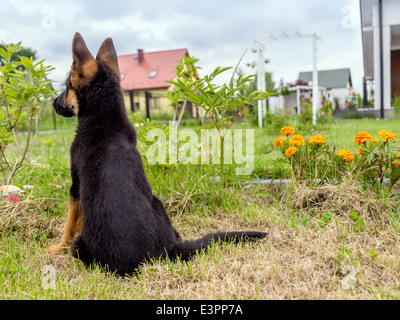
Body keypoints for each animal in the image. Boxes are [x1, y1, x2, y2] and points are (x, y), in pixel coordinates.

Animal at [47, 33, 266, 276]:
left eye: (67, 86)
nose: (53, 103)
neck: (107, 117)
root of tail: (163, 252)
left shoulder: (75, 187)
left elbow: (69, 222)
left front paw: (57, 248)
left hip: (87, 243)